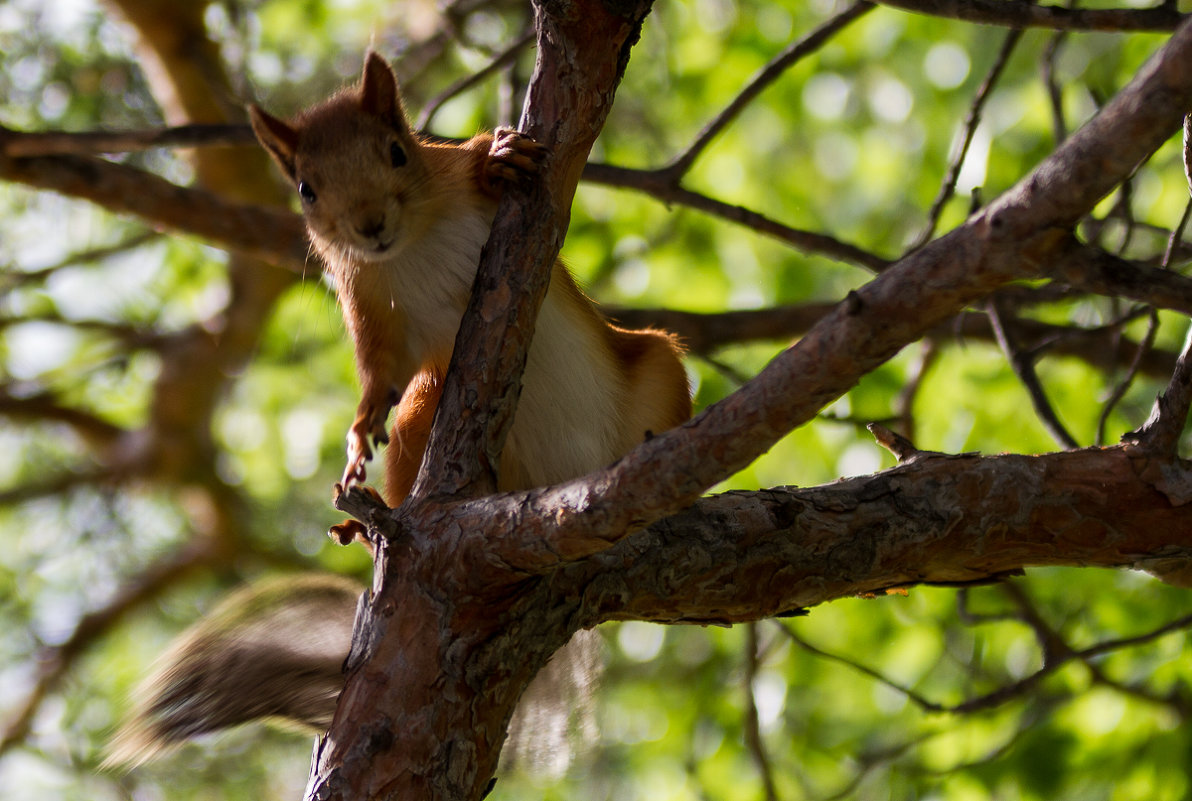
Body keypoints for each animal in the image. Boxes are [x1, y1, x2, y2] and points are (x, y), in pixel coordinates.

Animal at [249, 53, 691, 534]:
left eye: (397, 152)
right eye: (306, 190)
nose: (370, 225)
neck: (415, 243)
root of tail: (572, 476)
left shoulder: (464, 174)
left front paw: (499, 159)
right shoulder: (366, 302)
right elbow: (384, 368)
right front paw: (362, 425)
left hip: (659, 372)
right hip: (418, 421)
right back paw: (366, 525)